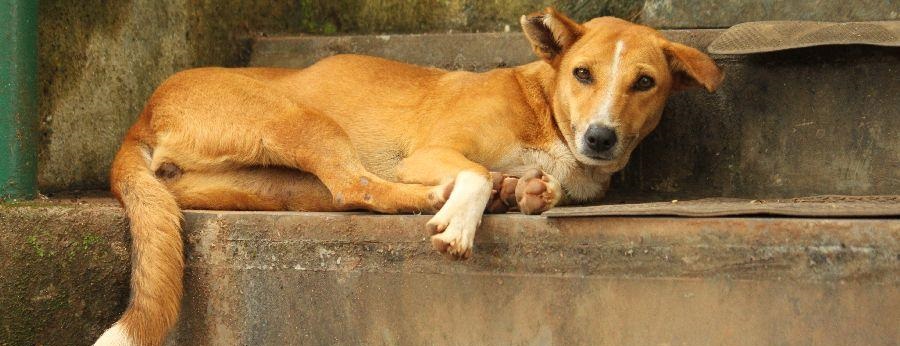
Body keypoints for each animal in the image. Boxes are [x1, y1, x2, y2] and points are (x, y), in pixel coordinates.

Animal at [93, 8, 724, 346]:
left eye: (645, 82)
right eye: (583, 74)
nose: (600, 138)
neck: (545, 110)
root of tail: (144, 114)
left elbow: (532, 186)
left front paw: (524, 190)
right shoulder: (429, 152)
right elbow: (474, 172)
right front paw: (465, 217)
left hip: (274, 181)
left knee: (345, 194)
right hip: (299, 119)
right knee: (359, 184)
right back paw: (444, 197)